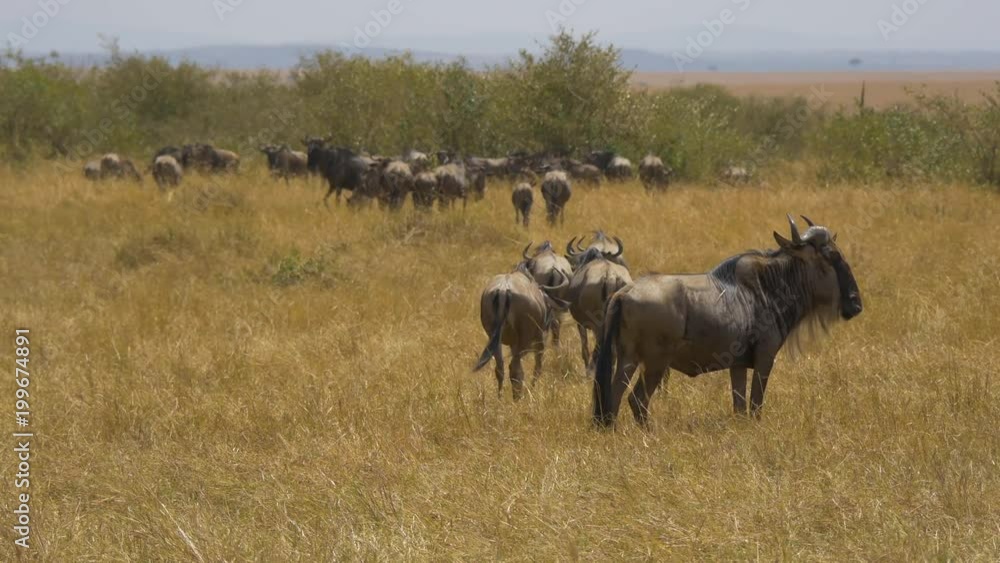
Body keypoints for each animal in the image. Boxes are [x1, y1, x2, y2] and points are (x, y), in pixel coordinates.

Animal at [473, 264, 570, 401]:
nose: (551, 322)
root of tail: (503, 291)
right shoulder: (539, 341)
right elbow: (538, 367)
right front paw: (532, 390)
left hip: (494, 339)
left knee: (500, 368)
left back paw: (500, 398)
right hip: (524, 340)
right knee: (515, 369)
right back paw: (517, 398)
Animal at [593, 215, 863, 427]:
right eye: (832, 256)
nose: (856, 304)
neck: (769, 288)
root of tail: (624, 293)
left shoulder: (738, 365)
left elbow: (740, 407)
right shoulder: (765, 357)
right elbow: (755, 405)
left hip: (627, 359)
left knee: (613, 397)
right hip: (655, 363)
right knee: (637, 399)